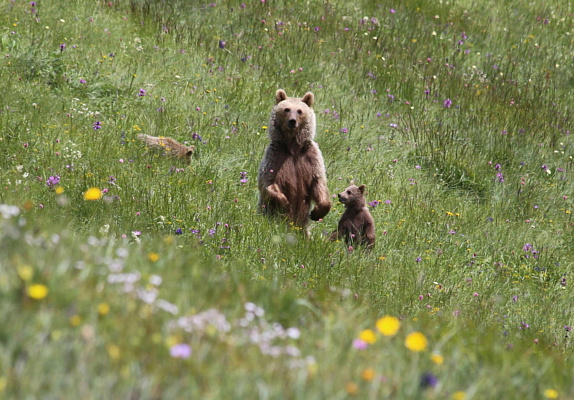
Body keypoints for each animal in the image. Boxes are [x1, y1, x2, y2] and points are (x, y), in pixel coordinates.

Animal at [258, 88, 332, 230]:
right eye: (286, 109)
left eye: (299, 111)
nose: (292, 121)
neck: (293, 147)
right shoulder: (275, 155)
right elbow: (267, 182)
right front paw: (285, 203)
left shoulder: (311, 156)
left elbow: (319, 181)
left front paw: (316, 212)